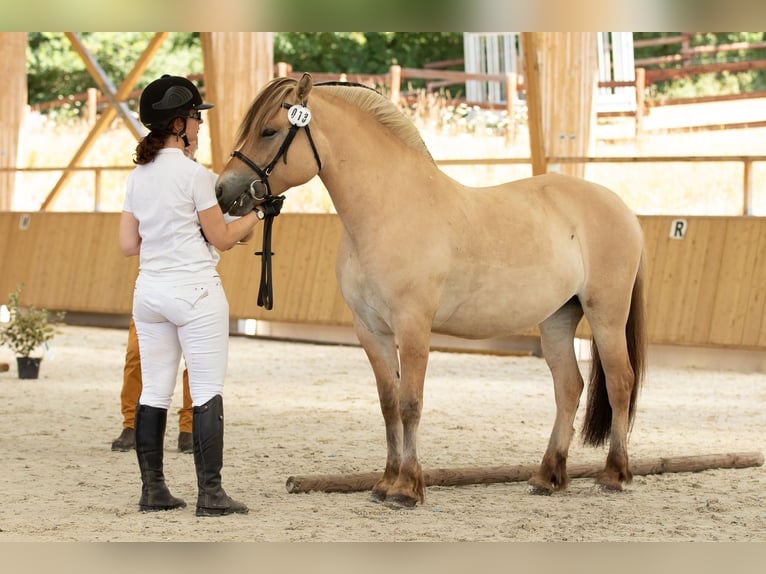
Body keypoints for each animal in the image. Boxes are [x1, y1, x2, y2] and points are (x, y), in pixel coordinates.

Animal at [216, 73, 647, 508]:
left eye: (269, 131)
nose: (222, 191)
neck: (389, 208)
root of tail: (621, 207)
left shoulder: (413, 326)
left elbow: (410, 403)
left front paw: (408, 488)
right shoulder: (370, 330)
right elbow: (388, 403)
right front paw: (386, 482)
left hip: (606, 315)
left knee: (620, 382)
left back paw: (615, 475)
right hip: (558, 317)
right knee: (568, 387)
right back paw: (547, 476)